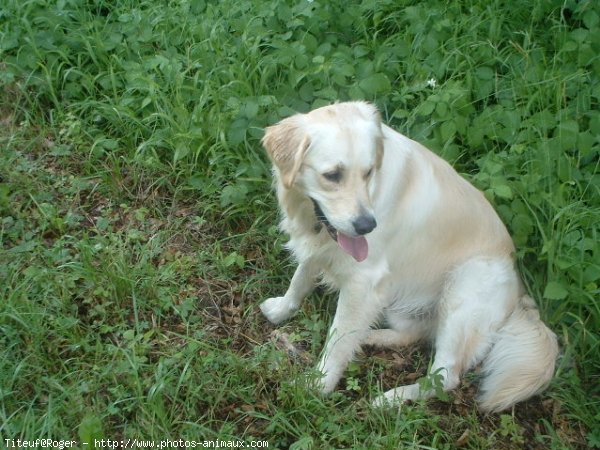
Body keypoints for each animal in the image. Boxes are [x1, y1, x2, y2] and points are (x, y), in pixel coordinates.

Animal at [258, 101, 556, 412]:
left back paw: (391, 398)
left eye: (368, 172)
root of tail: (520, 293)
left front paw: (317, 385)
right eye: (332, 175)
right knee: (412, 334)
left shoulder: (364, 282)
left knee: (445, 377)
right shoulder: (317, 248)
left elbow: (337, 340)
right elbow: (300, 280)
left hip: (465, 286)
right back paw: (373, 337)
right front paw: (281, 309)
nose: (367, 226)